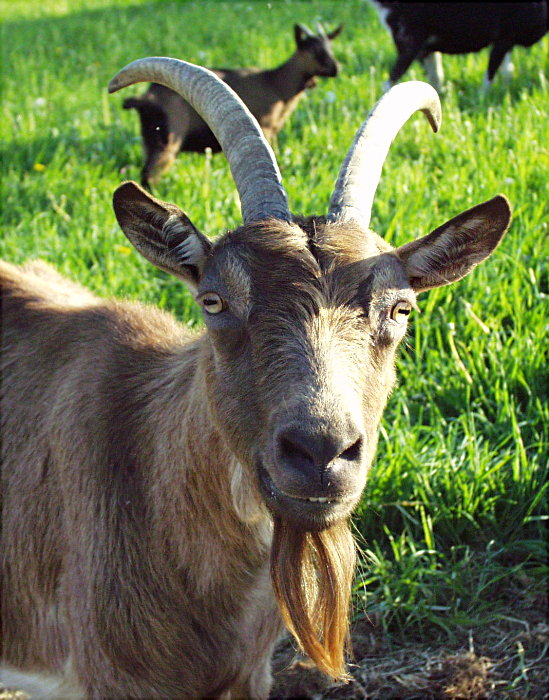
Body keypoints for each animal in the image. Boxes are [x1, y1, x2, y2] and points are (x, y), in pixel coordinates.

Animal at [123, 23, 342, 190]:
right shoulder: (266, 128)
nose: (335, 69)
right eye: (312, 50)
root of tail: (144, 98)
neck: (277, 83)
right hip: (167, 140)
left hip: (149, 140)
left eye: (330, 47)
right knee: (149, 175)